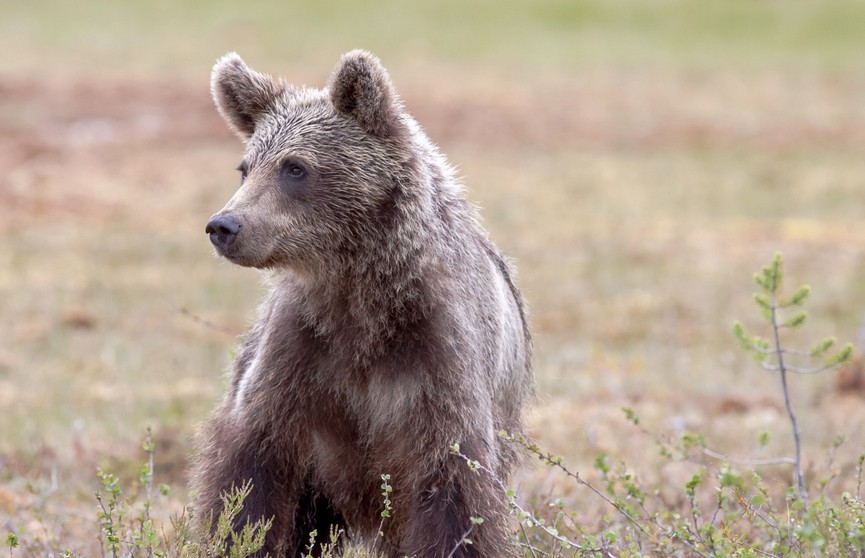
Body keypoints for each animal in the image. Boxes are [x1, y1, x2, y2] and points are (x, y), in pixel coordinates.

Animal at [194, 50, 532, 556]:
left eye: (295, 167)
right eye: (246, 166)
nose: (224, 225)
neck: (362, 298)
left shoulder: (437, 360)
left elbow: (455, 493)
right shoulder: (299, 357)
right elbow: (249, 480)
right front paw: (241, 536)